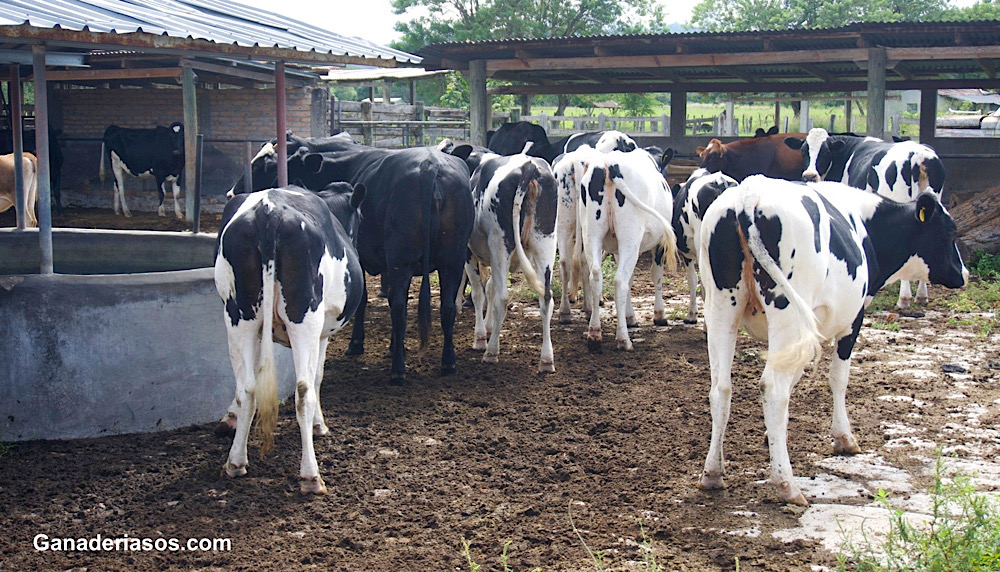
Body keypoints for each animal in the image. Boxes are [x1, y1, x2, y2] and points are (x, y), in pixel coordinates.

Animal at [215, 184, 368, 496]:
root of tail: (268, 211)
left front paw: (230, 419)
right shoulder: (323, 331)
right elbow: (318, 376)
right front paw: (320, 425)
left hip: (238, 314)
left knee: (247, 387)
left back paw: (235, 462)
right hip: (304, 315)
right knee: (303, 390)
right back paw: (311, 475)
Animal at [232, 135, 474, 384]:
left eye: (266, 167)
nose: (233, 192)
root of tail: (431, 166)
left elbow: (367, 299)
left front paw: (357, 343)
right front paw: (391, 346)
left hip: (403, 260)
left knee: (400, 309)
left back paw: (398, 371)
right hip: (452, 260)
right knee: (446, 307)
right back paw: (448, 363)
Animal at [696, 175, 968, 504]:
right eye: (950, 231)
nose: (964, 273)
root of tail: (748, 195)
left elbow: (795, 378)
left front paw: (770, 436)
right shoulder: (853, 318)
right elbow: (838, 378)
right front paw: (844, 438)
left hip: (722, 306)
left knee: (721, 388)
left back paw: (712, 474)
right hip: (786, 309)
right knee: (772, 387)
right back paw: (786, 484)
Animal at [784, 128, 948, 310]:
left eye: (825, 152)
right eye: (803, 151)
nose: (809, 176)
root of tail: (919, 155)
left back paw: (904, 298)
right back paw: (921, 296)